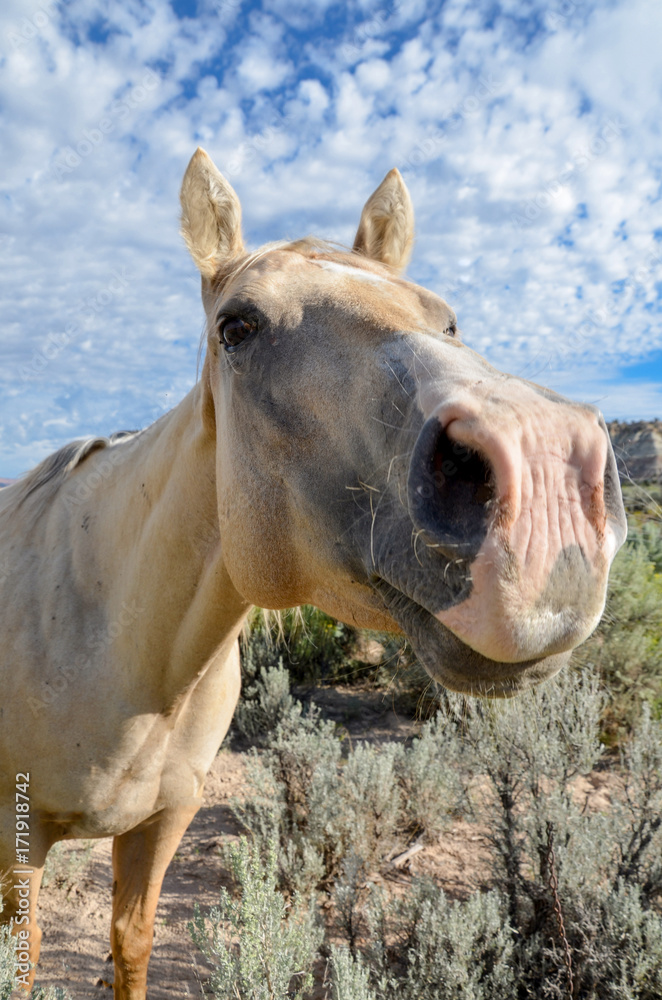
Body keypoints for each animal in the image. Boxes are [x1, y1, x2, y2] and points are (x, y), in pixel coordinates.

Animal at [0, 148, 626, 997]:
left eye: (448, 319)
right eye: (236, 327)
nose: (548, 483)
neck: (117, 642)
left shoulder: (163, 823)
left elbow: (131, 945)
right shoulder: (20, 837)